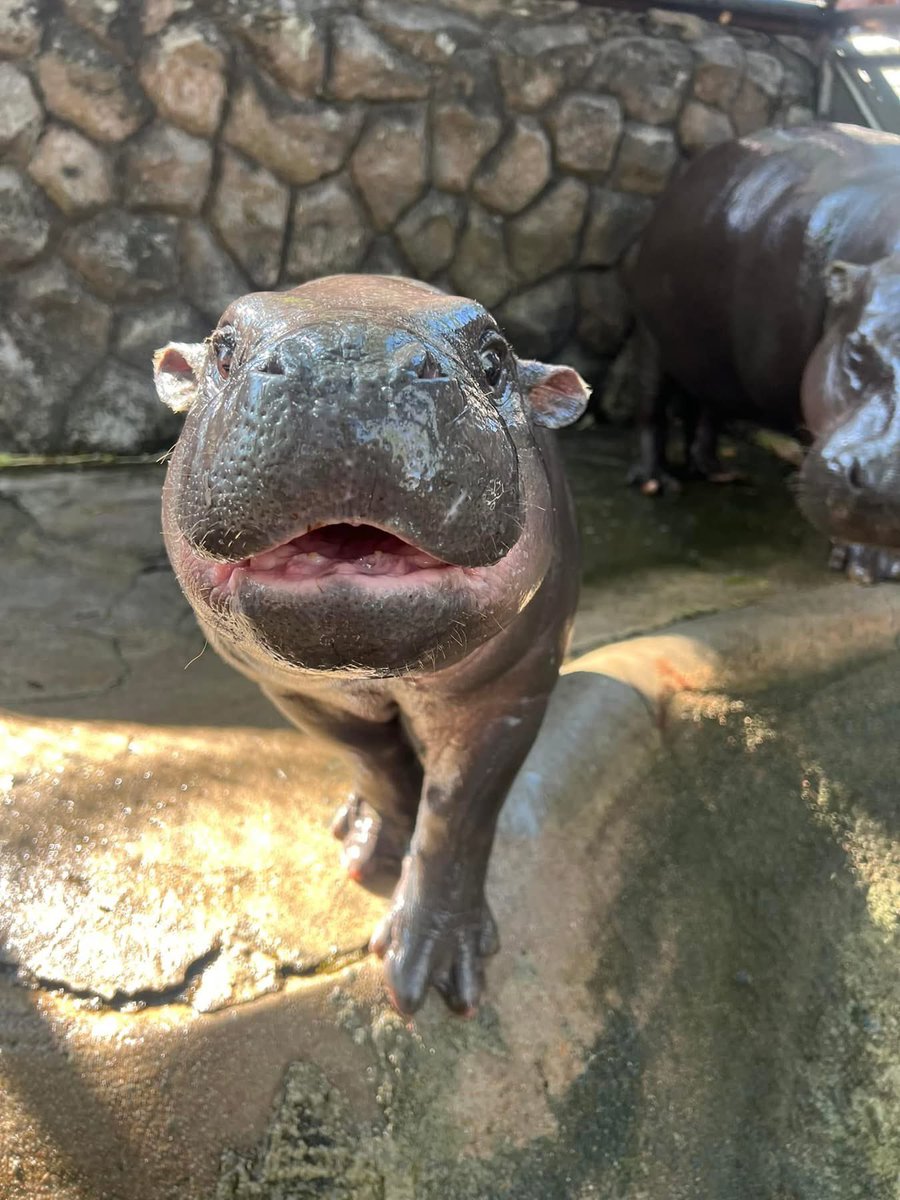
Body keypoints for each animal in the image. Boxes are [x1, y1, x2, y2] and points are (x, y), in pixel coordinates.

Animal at [154, 274, 589, 1016]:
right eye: (222, 346)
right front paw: (373, 852)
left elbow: (459, 811)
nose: (348, 366)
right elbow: (376, 760)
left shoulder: (512, 689)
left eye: (495, 357)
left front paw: (428, 972)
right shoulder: (293, 688)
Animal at [628, 123, 900, 583]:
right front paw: (863, 567)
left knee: (709, 409)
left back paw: (718, 471)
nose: (889, 479)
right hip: (651, 338)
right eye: (858, 349)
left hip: (713, 360)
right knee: (652, 409)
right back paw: (657, 483)